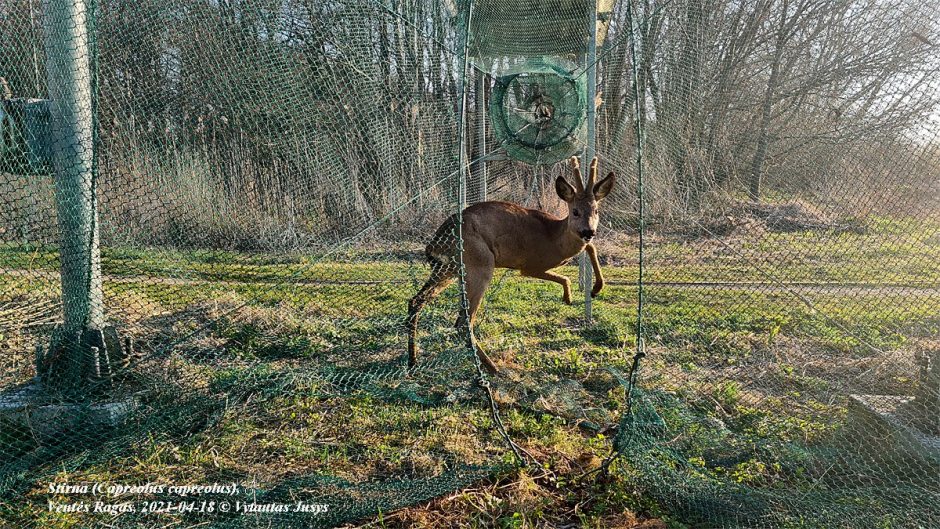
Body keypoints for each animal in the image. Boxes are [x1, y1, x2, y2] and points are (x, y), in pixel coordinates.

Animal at [406, 156, 616, 372]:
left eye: (596, 211)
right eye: (575, 211)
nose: (588, 231)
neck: (554, 237)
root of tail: (435, 243)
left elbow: (589, 248)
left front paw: (590, 290)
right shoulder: (531, 265)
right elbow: (568, 272)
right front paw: (575, 294)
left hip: (448, 269)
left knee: (416, 301)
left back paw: (413, 360)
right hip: (479, 263)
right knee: (463, 321)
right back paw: (492, 368)